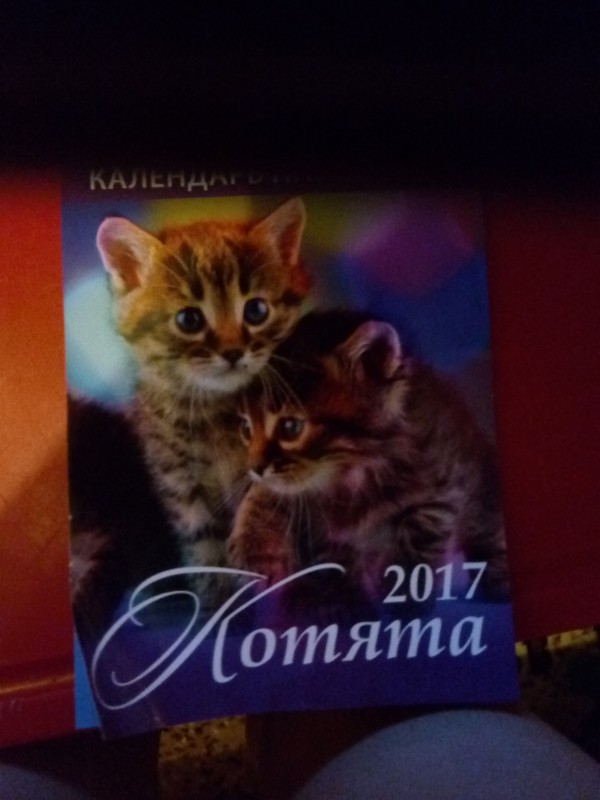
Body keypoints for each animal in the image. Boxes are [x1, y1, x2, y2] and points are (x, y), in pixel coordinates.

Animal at [72, 197, 310, 620]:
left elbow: (263, 500)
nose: (233, 352)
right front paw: (218, 611)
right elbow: (203, 546)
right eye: (189, 319)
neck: (216, 410)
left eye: (256, 311)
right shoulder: (178, 481)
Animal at [227, 309, 509, 606]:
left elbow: (422, 535)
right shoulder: (318, 523)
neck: (352, 475)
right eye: (246, 428)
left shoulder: (444, 484)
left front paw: (406, 598)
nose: (255, 469)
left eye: (290, 427)